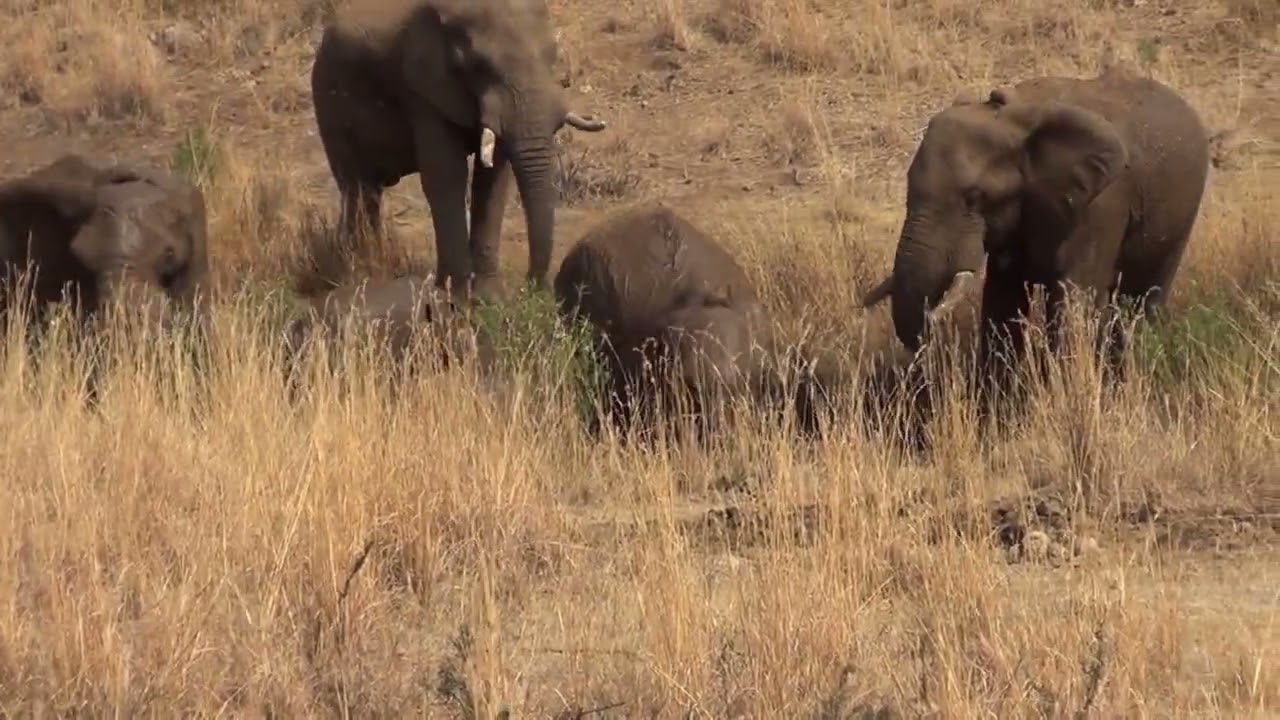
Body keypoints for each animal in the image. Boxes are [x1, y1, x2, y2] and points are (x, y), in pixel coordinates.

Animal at [310, 0, 608, 304]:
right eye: (479, 67)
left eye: (552, 56)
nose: (532, 288)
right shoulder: (423, 91)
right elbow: (447, 177)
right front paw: (459, 297)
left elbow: (493, 181)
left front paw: (489, 298)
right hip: (327, 99)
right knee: (356, 188)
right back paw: (360, 269)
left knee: (367, 192)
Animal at [862, 65, 1211, 405]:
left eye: (974, 197)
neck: (1013, 121)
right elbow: (1002, 302)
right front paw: (997, 407)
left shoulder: (1100, 205)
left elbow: (1073, 302)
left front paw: (1067, 400)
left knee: (1146, 296)